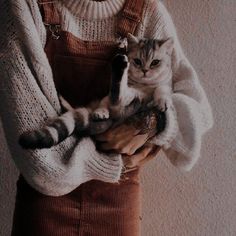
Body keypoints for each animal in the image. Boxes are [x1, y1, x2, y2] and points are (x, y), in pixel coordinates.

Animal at [19, 33, 176, 149]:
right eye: (137, 61)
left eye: (155, 62)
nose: (145, 71)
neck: (143, 85)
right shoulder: (129, 91)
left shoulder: (163, 84)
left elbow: (162, 88)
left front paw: (162, 100)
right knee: (109, 100)